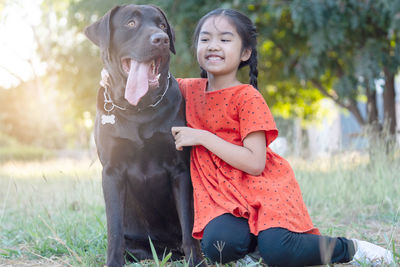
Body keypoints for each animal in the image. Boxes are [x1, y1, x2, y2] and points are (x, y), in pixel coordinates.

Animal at [84, 4, 203, 267]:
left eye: (161, 25)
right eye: (131, 24)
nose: (161, 39)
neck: (139, 109)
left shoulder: (180, 168)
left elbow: (189, 224)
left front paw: (197, 261)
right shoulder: (112, 170)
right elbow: (114, 230)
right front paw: (113, 262)